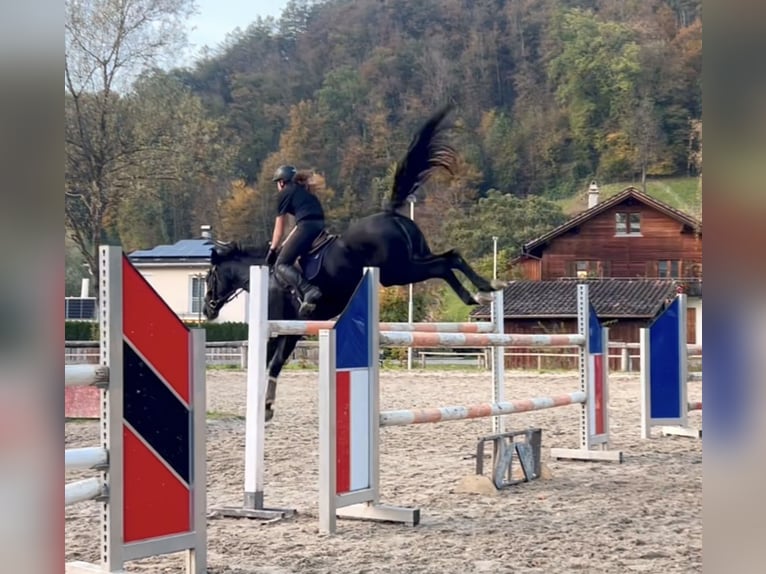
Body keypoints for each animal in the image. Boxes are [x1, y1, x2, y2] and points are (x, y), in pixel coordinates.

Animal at [201, 107, 508, 424]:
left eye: (210, 276)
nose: (207, 310)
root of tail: (389, 214)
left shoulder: (284, 326)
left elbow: (271, 363)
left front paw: (265, 407)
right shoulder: (293, 329)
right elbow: (274, 363)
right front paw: (267, 406)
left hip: (399, 271)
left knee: (444, 265)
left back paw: (478, 292)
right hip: (412, 261)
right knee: (450, 258)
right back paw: (483, 290)